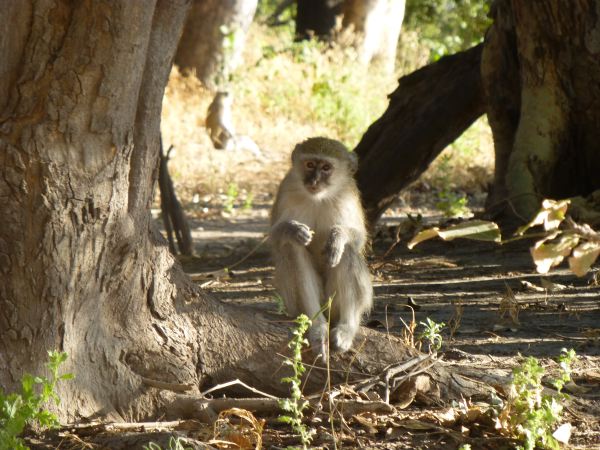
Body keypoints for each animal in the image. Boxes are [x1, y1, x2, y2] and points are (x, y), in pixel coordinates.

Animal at [268, 137, 370, 358]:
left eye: (326, 168)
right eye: (309, 165)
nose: (313, 181)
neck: (319, 198)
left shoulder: (348, 195)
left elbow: (358, 239)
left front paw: (337, 237)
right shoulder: (286, 188)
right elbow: (276, 238)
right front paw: (292, 229)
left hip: (337, 304)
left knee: (347, 252)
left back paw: (346, 328)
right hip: (299, 303)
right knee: (293, 249)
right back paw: (317, 327)